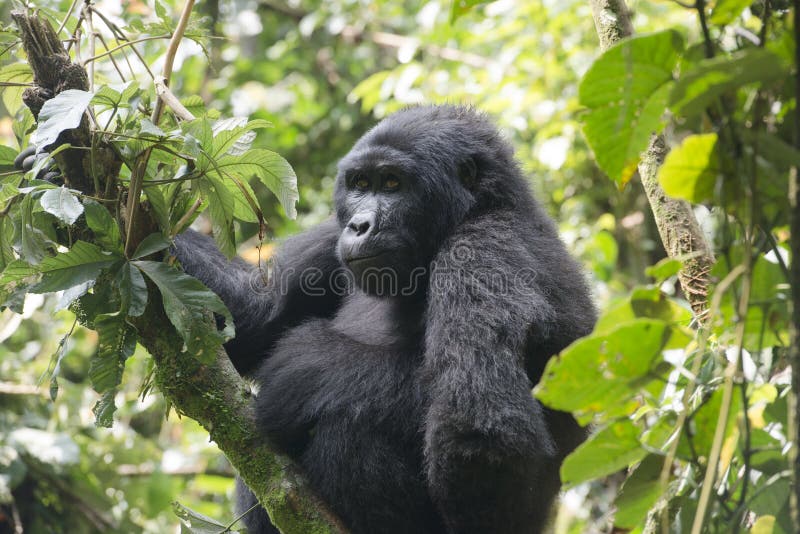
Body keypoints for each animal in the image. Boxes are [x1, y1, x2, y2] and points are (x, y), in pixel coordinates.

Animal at [173, 105, 592, 534]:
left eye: (392, 183)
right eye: (360, 183)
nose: (359, 225)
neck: (483, 206)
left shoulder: (485, 250)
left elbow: (484, 427)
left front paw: (305, 368)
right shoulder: (331, 235)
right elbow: (252, 319)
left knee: (352, 423)